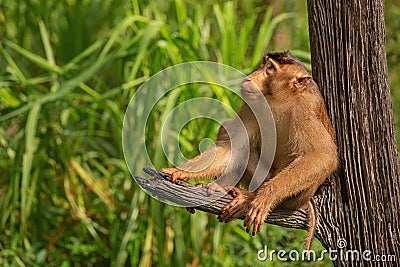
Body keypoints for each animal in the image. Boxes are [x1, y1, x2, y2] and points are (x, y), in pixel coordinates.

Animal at [161, 52, 336, 251]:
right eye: (263, 65)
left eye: (270, 69)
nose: (251, 76)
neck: (279, 101)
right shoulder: (253, 104)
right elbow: (234, 146)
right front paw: (183, 171)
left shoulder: (305, 110)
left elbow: (322, 156)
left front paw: (266, 196)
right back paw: (222, 186)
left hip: (297, 196)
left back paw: (249, 197)